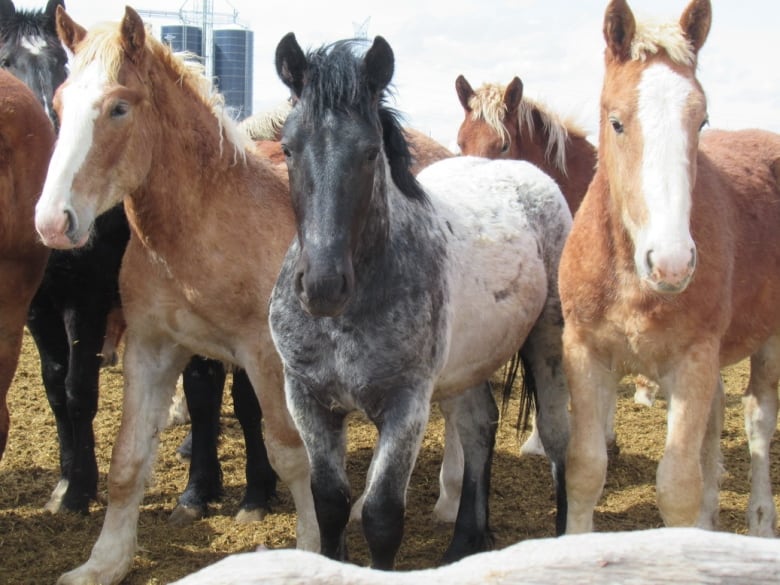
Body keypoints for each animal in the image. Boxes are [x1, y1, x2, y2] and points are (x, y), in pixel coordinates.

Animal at [0, 0, 274, 520]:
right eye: (6, 65)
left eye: (57, 66)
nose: (51, 221)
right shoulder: (36, 306)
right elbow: (55, 387)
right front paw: (65, 482)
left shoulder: (86, 301)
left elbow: (80, 392)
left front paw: (81, 489)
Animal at [33, 5, 318, 584]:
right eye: (58, 103)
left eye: (119, 107)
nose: (53, 223)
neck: (208, 225)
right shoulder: (151, 348)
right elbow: (127, 460)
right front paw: (104, 561)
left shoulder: (265, 356)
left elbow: (290, 453)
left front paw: (312, 547)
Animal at [270, 34, 572, 568]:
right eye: (288, 149)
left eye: (371, 152)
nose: (323, 286)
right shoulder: (307, 397)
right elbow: (330, 504)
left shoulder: (405, 404)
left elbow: (382, 516)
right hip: (466, 365)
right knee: (478, 426)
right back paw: (465, 542)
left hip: (547, 345)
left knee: (558, 443)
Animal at [560, 0, 780, 536]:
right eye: (616, 121)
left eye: (700, 120)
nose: (672, 262)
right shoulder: (584, 351)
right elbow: (585, 470)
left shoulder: (692, 358)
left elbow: (677, 487)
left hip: (769, 338)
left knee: (758, 419)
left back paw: (761, 521)